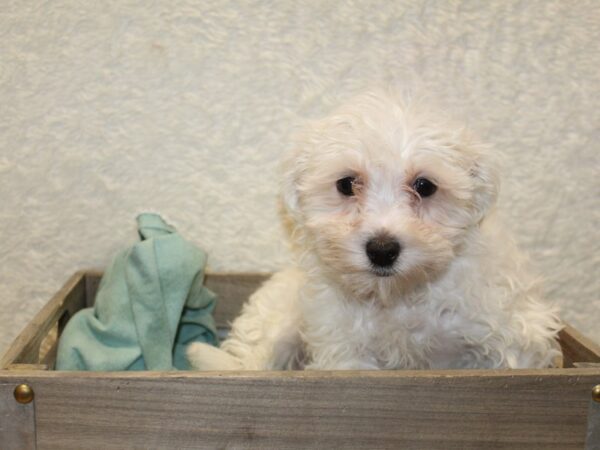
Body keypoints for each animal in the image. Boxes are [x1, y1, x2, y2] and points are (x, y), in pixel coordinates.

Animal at [188, 89, 564, 372]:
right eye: (346, 184)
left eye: (425, 186)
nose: (382, 250)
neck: (398, 297)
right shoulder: (345, 350)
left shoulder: (513, 336)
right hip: (275, 330)